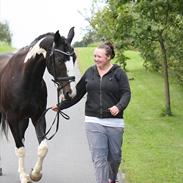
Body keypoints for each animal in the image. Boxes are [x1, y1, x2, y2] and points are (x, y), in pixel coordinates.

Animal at [0, 27, 76, 183]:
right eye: (59, 60)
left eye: (74, 58)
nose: (70, 93)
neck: (24, 79)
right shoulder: (12, 118)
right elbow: (20, 148)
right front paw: (24, 176)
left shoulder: (38, 117)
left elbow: (42, 148)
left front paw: (35, 174)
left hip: (23, 120)